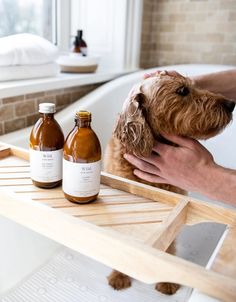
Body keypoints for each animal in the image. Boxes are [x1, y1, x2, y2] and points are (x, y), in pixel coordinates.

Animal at [104, 71, 235, 294]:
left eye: (193, 85)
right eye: (182, 90)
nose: (231, 103)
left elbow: (169, 243)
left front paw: (167, 281)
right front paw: (119, 275)